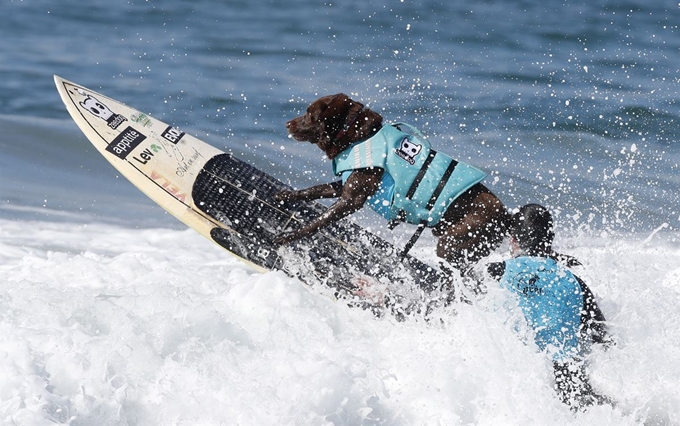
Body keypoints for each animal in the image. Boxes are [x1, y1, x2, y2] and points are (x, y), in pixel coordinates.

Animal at [274, 93, 508, 272]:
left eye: (309, 114)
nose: (286, 124)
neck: (359, 137)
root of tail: (507, 218)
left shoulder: (351, 200)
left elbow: (316, 223)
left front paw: (288, 237)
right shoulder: (343, 187)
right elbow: (312, 190)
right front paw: (286, 196)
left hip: (453, 245)